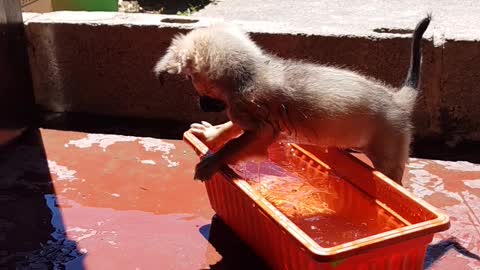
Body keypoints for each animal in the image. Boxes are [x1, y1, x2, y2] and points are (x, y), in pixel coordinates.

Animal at [156, 15, 434, 186]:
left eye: (191, 78)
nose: (200, 104)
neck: (251, 75)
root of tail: (398, 99)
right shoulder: (243, 117)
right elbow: (229, 128)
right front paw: (210, 135)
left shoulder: (262, 130)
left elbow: (233, 146)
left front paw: (212, 162)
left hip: (388, 161)